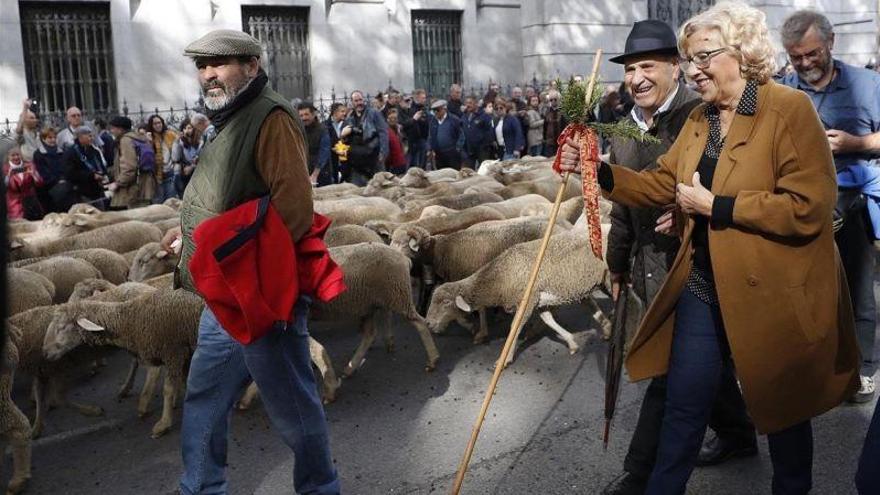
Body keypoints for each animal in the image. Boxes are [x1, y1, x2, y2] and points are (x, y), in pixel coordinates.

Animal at [424, 232, 604, 364]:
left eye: (446, 302)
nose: (428, 323)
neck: (498, 278)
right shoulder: (537, 301)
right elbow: (548, 320)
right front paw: (571, 342)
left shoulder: (527, 300)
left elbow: (514, 328)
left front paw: (505, 359)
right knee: (591, 304)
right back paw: (606, 327)